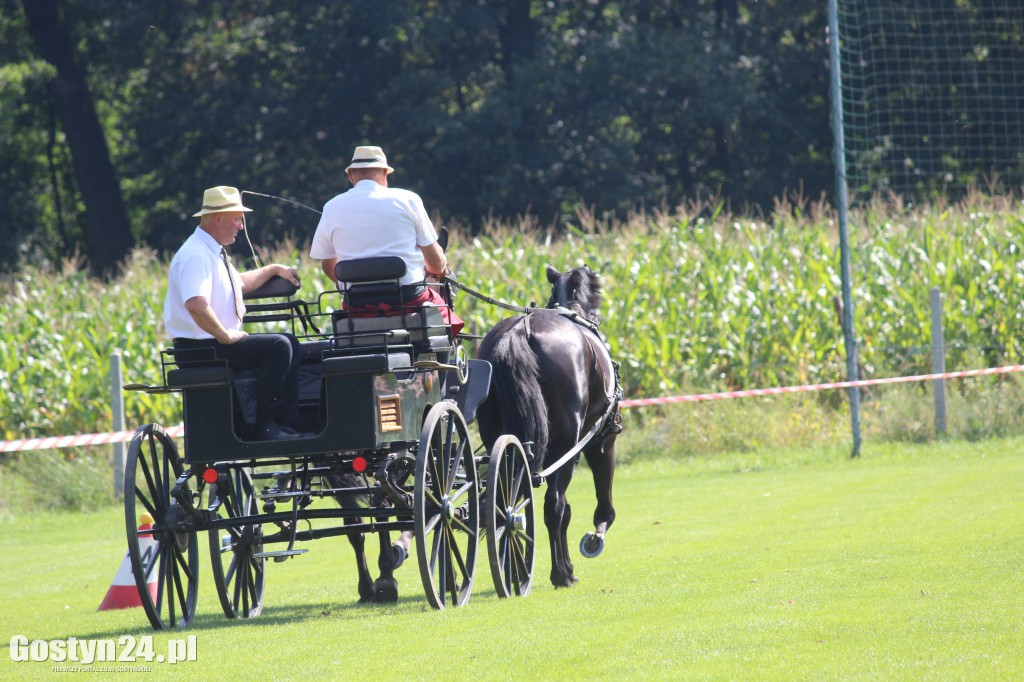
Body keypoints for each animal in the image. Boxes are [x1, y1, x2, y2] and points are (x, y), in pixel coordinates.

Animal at [473, 261, 622, 585]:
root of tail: (521, 331)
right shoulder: (601, 440)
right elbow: (586, 504)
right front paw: (595, 536)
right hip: (566, 443)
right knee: (553, 505)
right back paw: (560, 574)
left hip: (498, 438)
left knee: (506, 500)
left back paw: (515, 570)